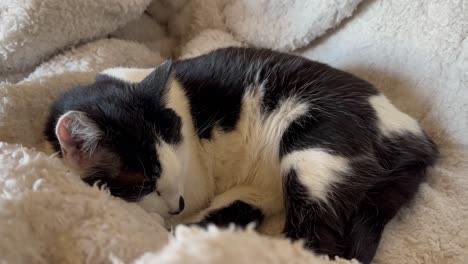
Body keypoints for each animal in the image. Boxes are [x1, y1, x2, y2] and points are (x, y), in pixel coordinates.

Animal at [44, 48, 438, 264]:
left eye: (174, 170)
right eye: (144, 184)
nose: (177, 204)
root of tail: (416, 136)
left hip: (313, 157)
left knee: (320, 244)